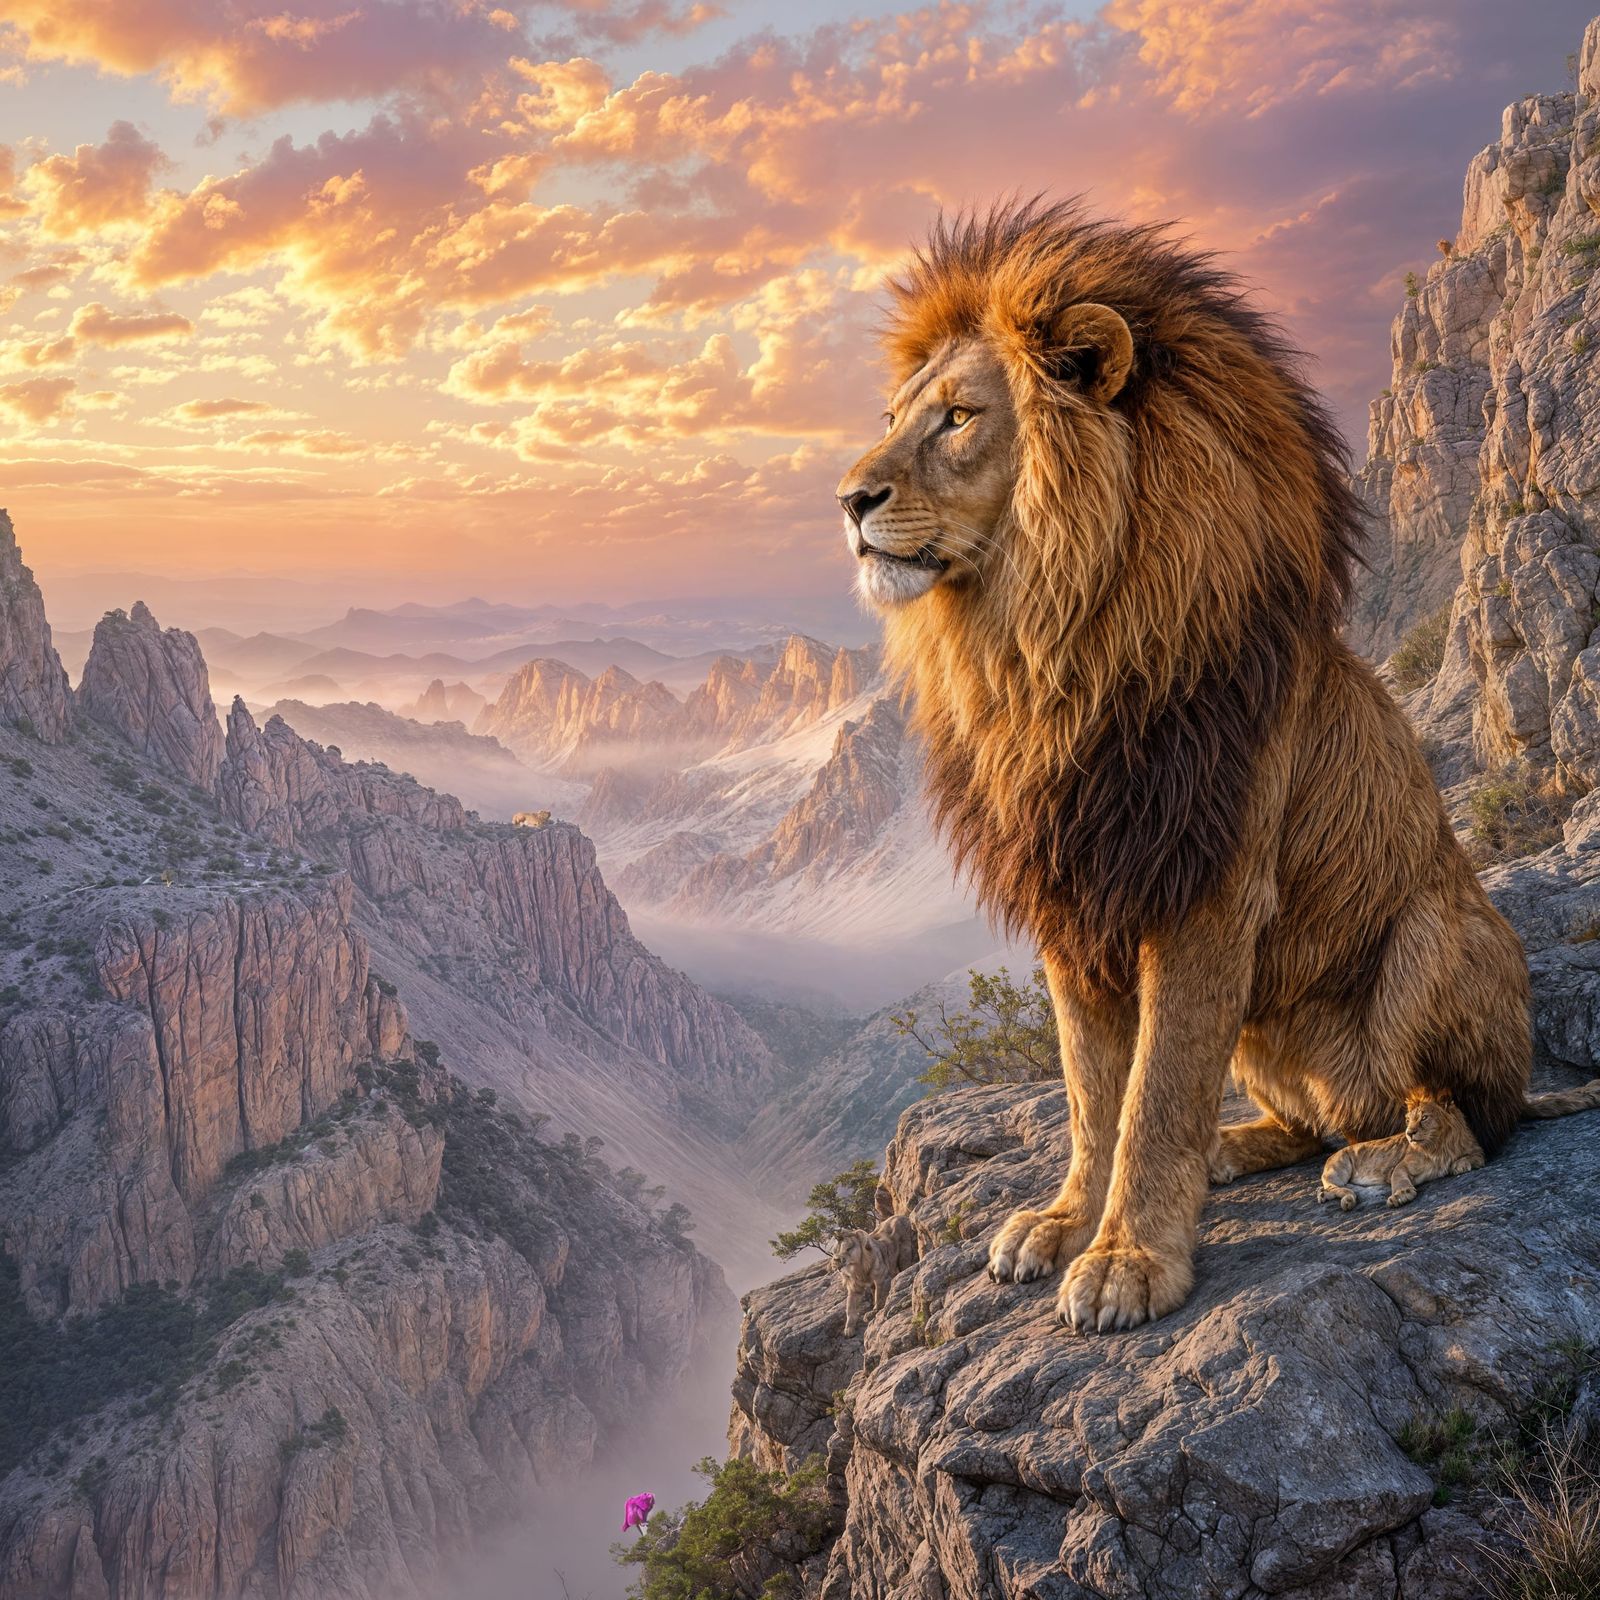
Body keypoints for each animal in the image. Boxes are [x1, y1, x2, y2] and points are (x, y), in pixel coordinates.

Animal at [1318, 1089, 1484, 1211]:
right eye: (1408, 1120)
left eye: (1424, 1118)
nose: (1409, 1133)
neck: (1439, 1146)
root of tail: (1330, 1157)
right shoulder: (1401, 1166)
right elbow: (1398, 1179)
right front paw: (1401, 1195)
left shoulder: (1477, 1148)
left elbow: (1476, 1156)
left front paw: (1460, 1164)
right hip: (1339, 1168)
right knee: (1336, 1186)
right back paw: (1334, 1196)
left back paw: (1322, 1194)